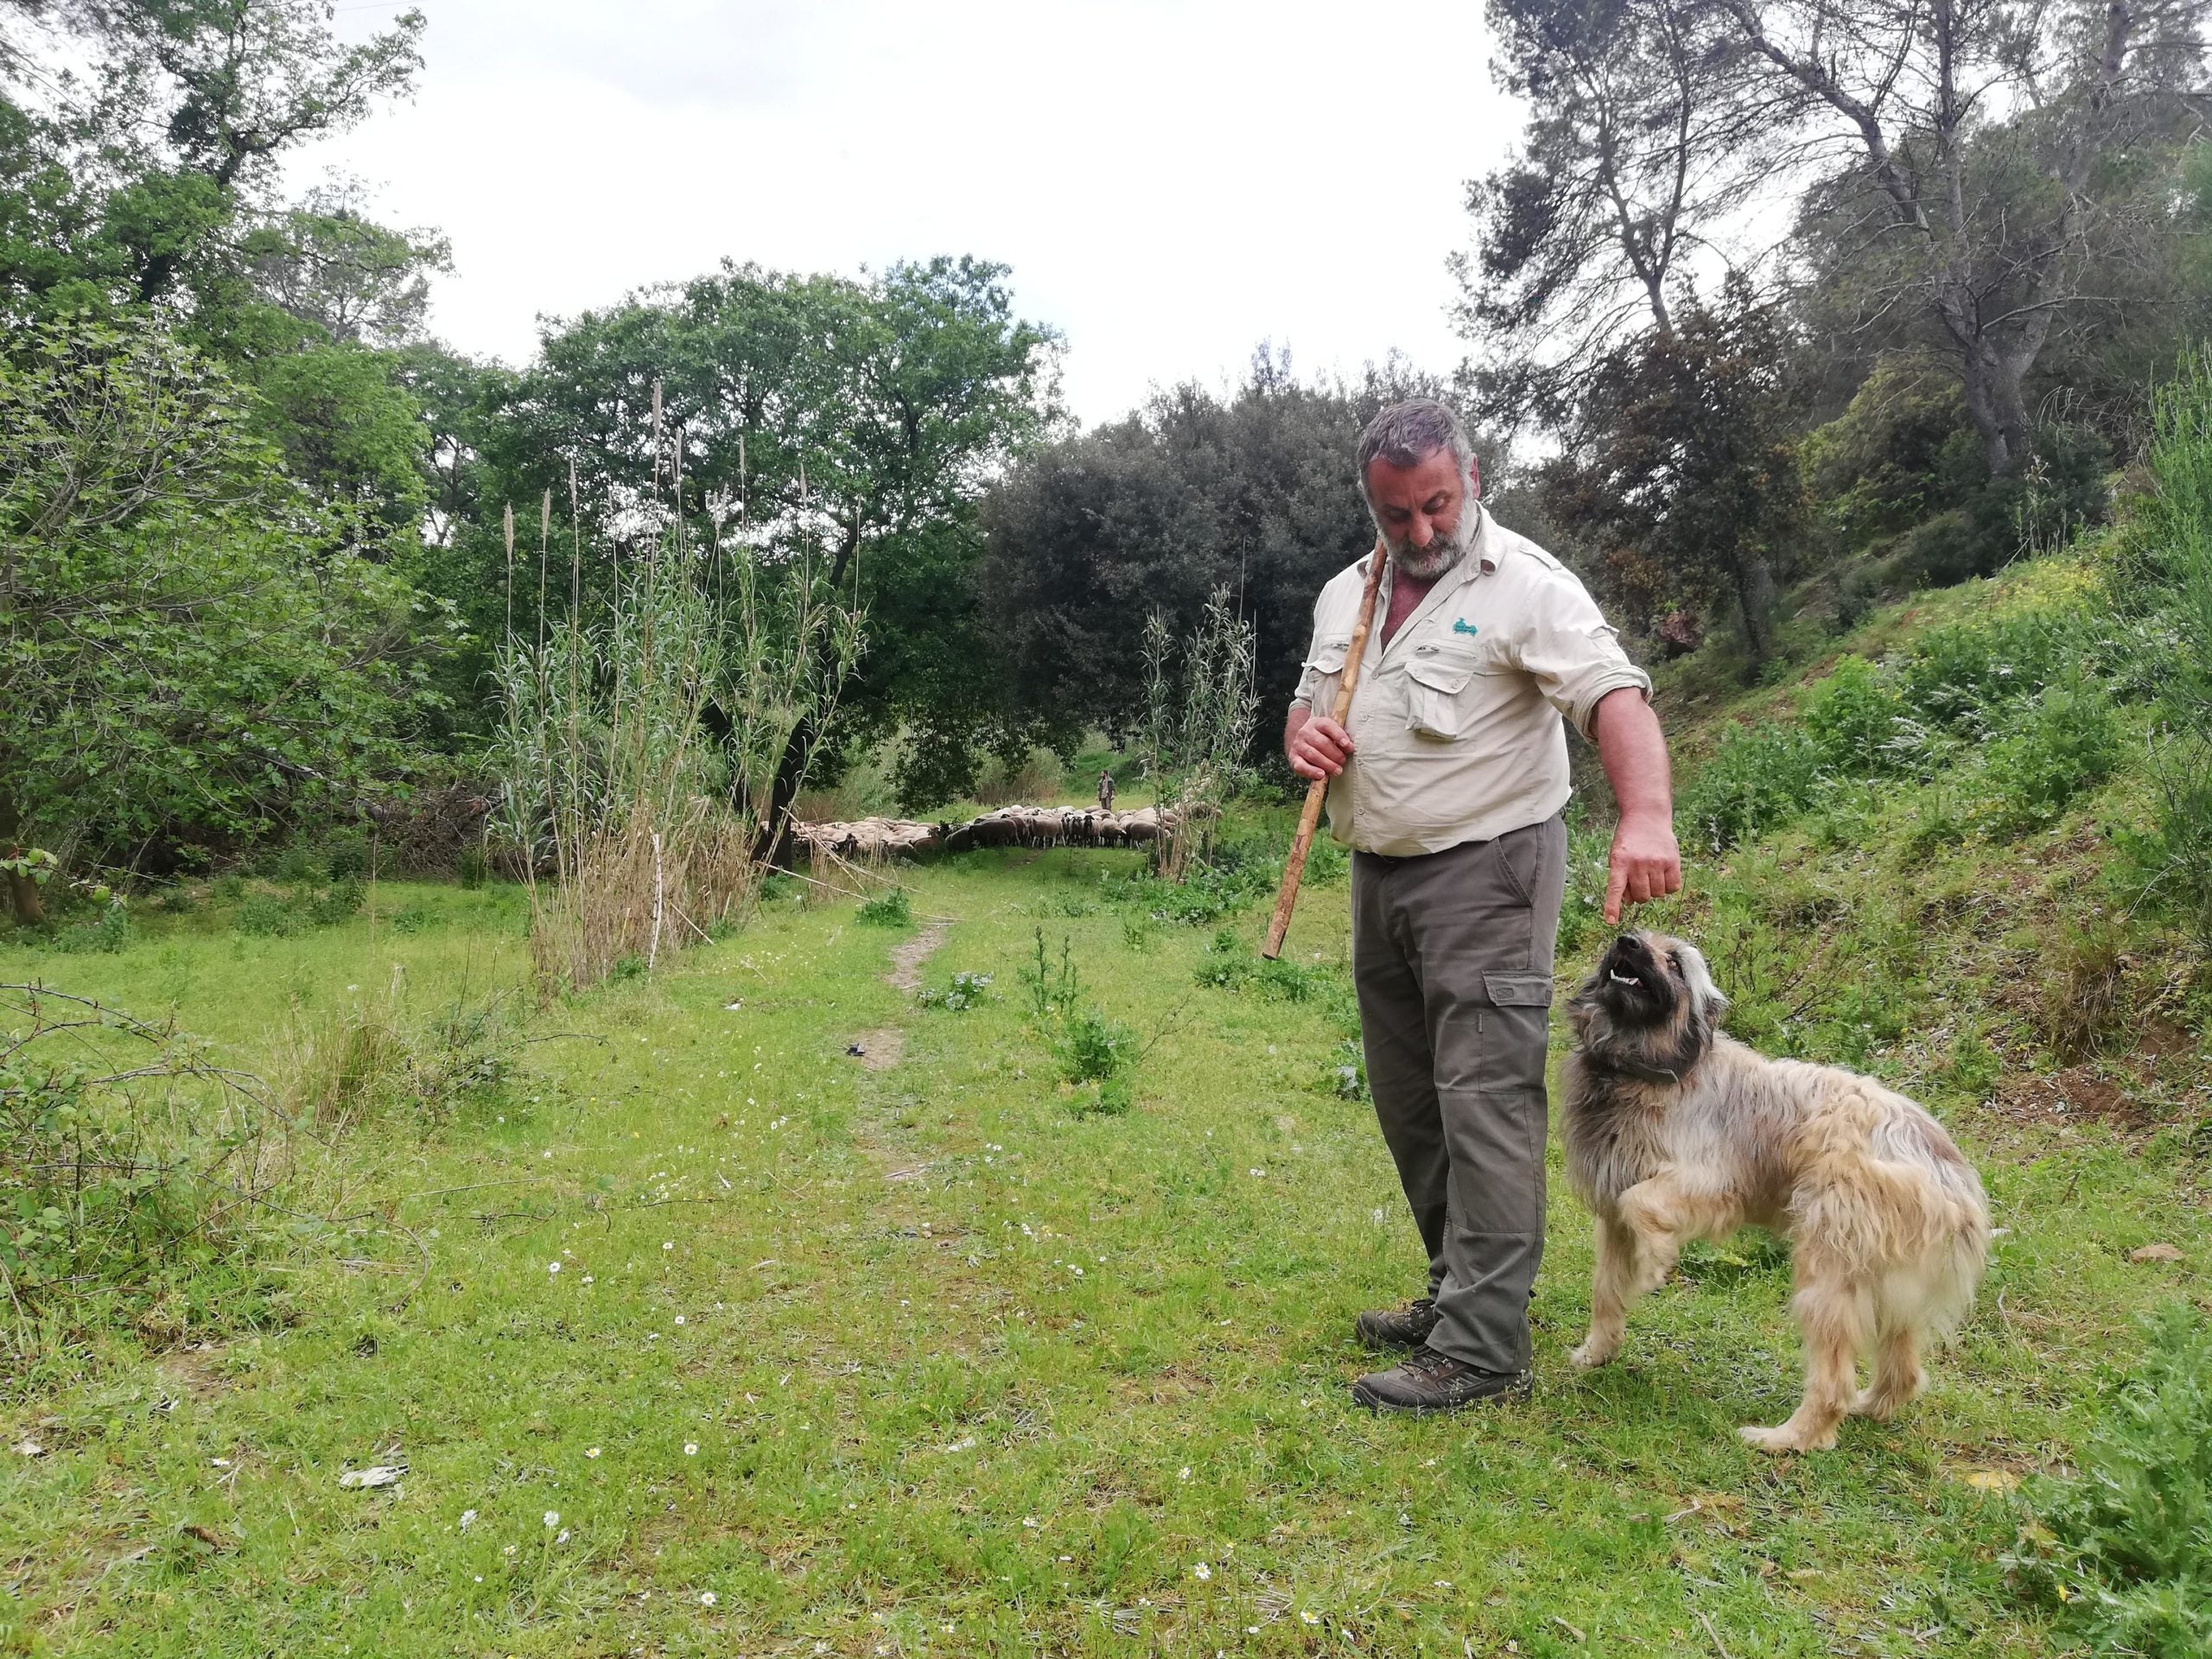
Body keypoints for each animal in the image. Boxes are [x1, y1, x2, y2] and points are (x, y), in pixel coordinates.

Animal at [1557, 938, 1991, 1451]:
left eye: (1674, 963)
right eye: (1634, 940)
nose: (1625, 941)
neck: (1643, 1067)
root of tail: (1945, 1164)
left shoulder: (1711, 1182)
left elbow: (1640, 1203)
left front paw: (1654, 1264)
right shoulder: (1613, 1212)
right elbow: (1606, 1289)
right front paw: (1596, 1353)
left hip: (1828, 1267)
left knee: (1832, 1382)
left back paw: (1788, 1438)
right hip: (1886, 1278)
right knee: (1902, 1368)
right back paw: (1869, 1407)